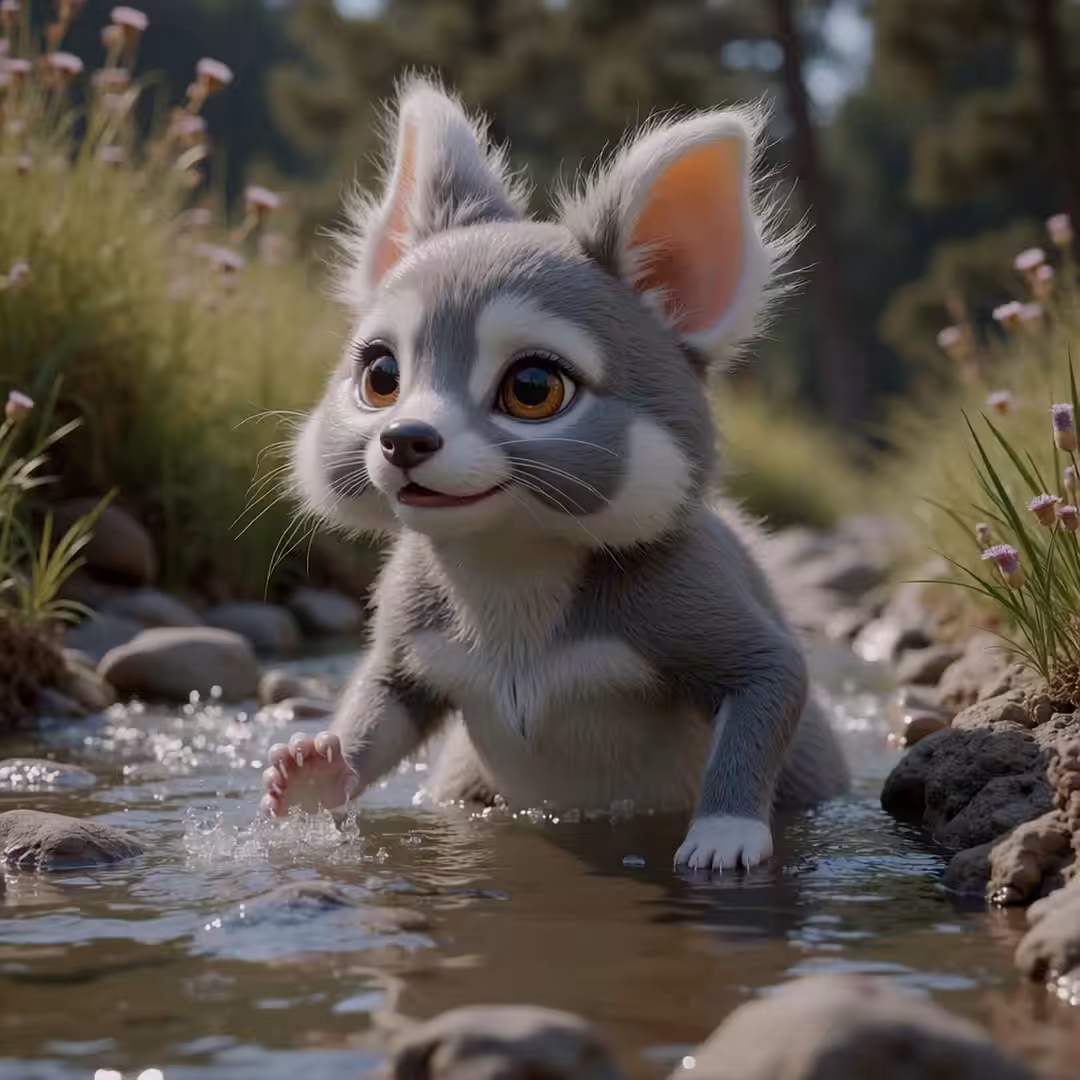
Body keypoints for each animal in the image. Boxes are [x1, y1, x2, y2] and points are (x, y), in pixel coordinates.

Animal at [262, 77, 850, 872]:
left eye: (533, 388)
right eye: (380, 376)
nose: (404, 439)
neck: (509, 562)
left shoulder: (696, 600)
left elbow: (773, 680)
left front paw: (725, 835)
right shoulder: (410, 638)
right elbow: (381, 705)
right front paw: (314, 775)